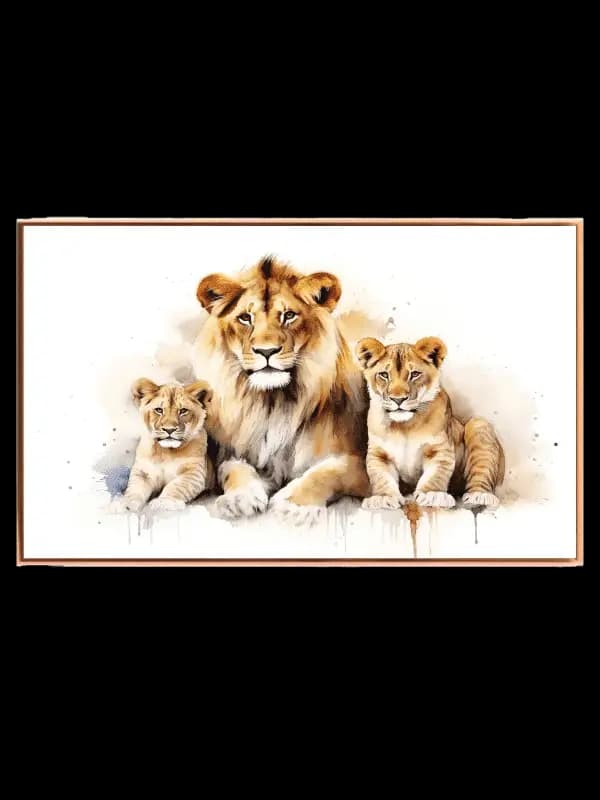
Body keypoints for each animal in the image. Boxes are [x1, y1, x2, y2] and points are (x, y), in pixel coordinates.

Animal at [192, 256, 370, 524]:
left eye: (289, 315)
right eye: (245, 318)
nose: (266, 351)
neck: (272, 402)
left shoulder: (361, 463)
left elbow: (328, 471)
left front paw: (293, 504)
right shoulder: (233, 453)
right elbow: (233, 469)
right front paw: (239, 498)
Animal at [356, 336, 505, 509]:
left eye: (414, 374)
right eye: (384, 375)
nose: (398, 399)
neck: (404, 426)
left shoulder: (439, 449)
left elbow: (436, 474)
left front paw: (432, 495)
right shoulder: (379, 454)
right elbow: (380, 476)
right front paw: (382, 497)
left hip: (479, 425)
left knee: (481, 470)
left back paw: (479, 495)